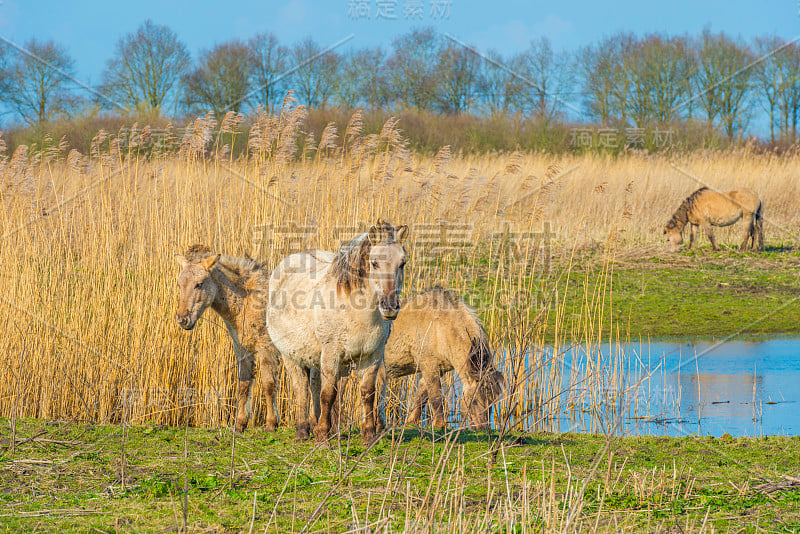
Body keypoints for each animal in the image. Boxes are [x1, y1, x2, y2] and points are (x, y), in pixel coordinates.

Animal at [175, 247, 282, 436]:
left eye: (199, 284)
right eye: (179, 284)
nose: (183, 320)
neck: (245, 300)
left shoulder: (266, 346)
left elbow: (269, 384)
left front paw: (271, 423)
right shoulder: (242, 347)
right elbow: (244, 384)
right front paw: (240, 423)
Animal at [268, 222, 410, 444]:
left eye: (402, 263)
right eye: (375, 263)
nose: (389, 307)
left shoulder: (373, 356)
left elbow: (367, 392)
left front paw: (369, 435)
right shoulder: (331, 353)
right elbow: (328, 394)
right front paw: (322, 437)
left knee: (316, 386)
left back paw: (322, 426)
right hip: (290, 356)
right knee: (301, 388)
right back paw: (303, 431)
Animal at [378, 288, 504, 432]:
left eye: (493, 400)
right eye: (475, 400)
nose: (482, 429)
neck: (441, 326)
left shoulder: (436, 370)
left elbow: (421, 397)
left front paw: (411, 422)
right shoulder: (429, 367)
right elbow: (436, 398)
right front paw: (439, 425)